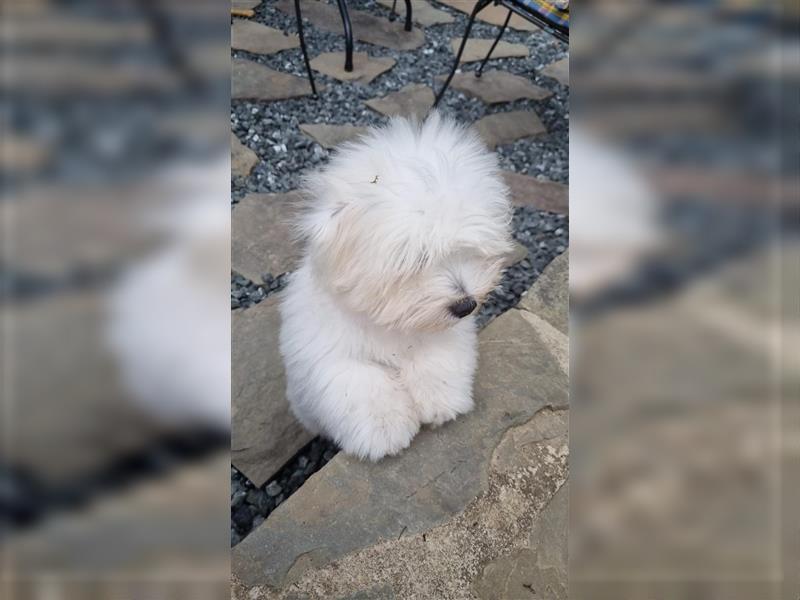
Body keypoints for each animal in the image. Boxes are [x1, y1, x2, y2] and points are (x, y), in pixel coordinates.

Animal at [278, 112, 516, 460]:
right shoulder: (331, 355)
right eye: (418, 258)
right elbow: (361, 383)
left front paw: (442, 401)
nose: (465, 305)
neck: (389, 320)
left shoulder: (444, 333)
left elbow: (437, 358)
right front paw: (385, 430)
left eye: (467, 248)